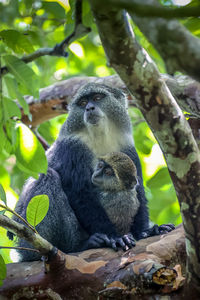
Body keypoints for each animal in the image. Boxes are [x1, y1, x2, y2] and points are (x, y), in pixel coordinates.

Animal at [7, 82, 174, 260]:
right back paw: (79, 245)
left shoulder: (127, 148)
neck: (100, 136)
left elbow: (137, 189)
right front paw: (115, 237)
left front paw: (145, 232)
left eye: (97, 98)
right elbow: (79, 191)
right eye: (82, 103)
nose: (89, 108)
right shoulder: (73, 146)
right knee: (49, 177)